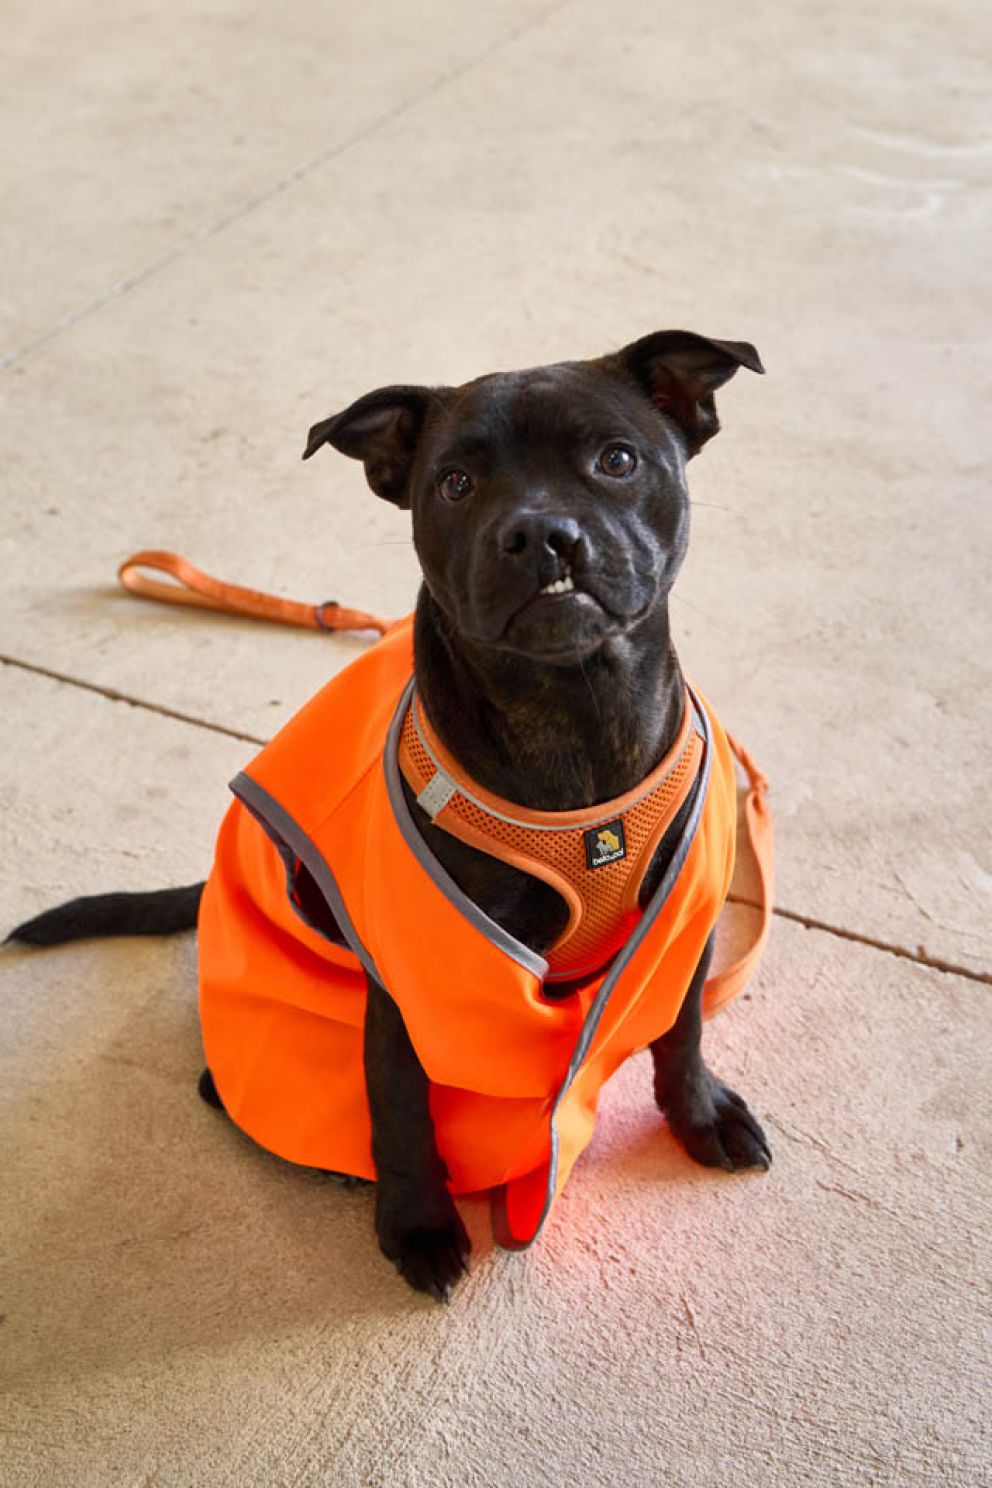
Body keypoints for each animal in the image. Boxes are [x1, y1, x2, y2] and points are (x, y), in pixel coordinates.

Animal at [9, 328, 773, 1303]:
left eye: (617, 459)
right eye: (455, 482)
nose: (540, 533)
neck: (569, 714)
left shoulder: (678, 926)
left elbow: (679, 1034)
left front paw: (700, 1116)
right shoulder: (414, 976)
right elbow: (401, 1105)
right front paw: (417, 1224)